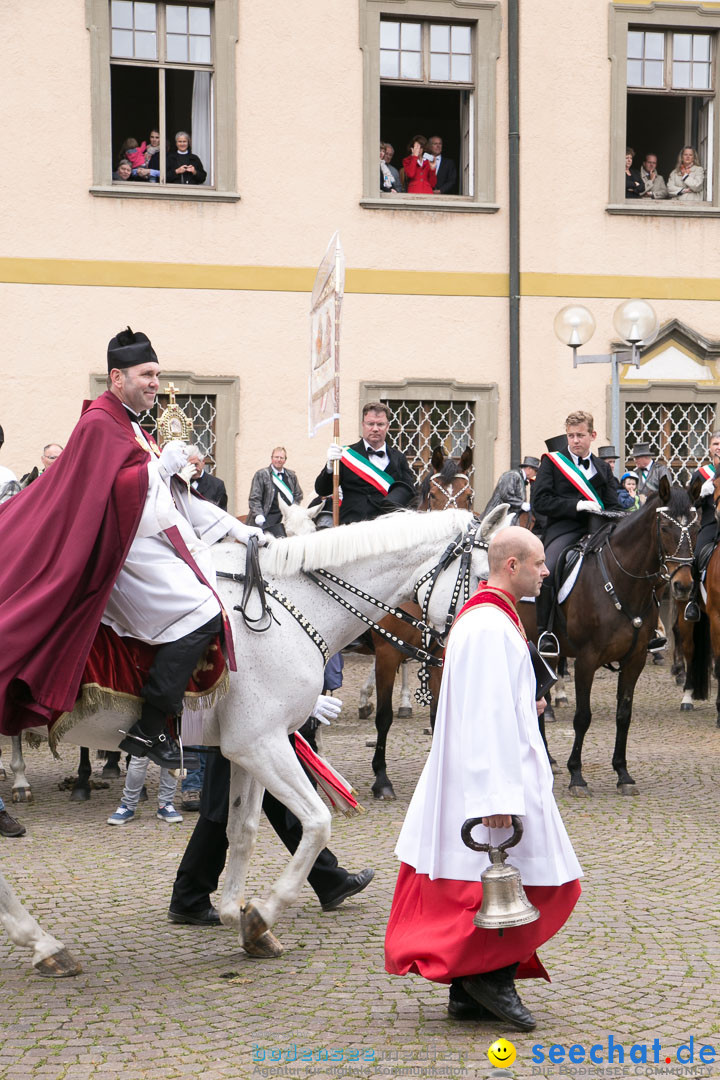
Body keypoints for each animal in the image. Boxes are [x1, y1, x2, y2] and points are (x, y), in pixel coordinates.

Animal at [2, 507, 490, 972]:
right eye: (484, 576)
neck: (288, 608)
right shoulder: (261, 744)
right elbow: (316, 822)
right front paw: (260, 915)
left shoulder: (248, 749)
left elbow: (242, 829)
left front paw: (236, 915)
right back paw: (41, 939)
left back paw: (42, 943)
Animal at [520, 477, 699, 799]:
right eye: (666, 528)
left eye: (695, 526)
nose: (683, 585)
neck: (622, 580)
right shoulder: (586, 660)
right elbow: (583, 716)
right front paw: (577, 776)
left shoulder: (635, 659)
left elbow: (623, 714)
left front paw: (623, 773)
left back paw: (547, 760)